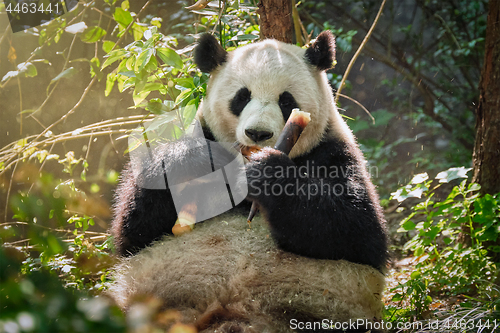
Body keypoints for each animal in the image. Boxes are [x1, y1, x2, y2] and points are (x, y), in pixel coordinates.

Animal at [111, 29, 388, 330]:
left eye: (286, 100)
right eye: (242, 97)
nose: (258, 133)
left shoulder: (333, 151)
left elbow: (358, 232)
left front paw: (270, 174)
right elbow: (133, 230)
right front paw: (199, 159)